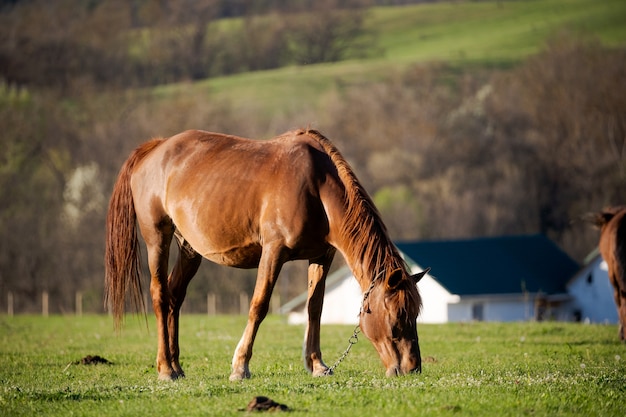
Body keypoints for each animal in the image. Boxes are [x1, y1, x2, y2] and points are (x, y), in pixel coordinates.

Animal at [105, 128, 424, 378]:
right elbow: (258, 305)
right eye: (396, 320)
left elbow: (314, 308)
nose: (412, 368)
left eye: (415, 316)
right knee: (160, 295)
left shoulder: (321, 257)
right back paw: (165, 369)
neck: (316, 186)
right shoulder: (274, 251)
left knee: (174, 297)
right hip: (157, 238)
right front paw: (240, 366)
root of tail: (154, 148)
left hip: (189, 249)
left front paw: (317, 365)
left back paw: (176, 365)